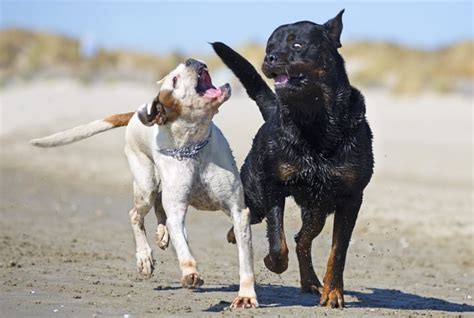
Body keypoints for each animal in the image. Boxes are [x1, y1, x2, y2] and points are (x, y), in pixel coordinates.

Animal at [29, 59, 258, 308]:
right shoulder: (177, 209)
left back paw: (161, 235)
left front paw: (246, 296)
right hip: (145, 185)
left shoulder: (238, 211)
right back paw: (145, 258)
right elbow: (182, 245)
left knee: (159, 208)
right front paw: (190, 272)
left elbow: (245, 260)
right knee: (137, 215)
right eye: (174, 80)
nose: (191, 60)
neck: (193, 147)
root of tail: (137, 113)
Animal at [214, 9, 374, 308]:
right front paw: (271, 260)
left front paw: (332, 292)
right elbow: (277, 242)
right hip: (257, 193)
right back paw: (234, 233)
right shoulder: (273, 186)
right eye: (269, 47)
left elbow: (338, 251)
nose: (269, 58)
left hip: (317, 208)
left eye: (297, 44)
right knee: (251, 214)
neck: (315, 120)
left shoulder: (351, 198)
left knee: (303, 239)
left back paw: (311, 281)